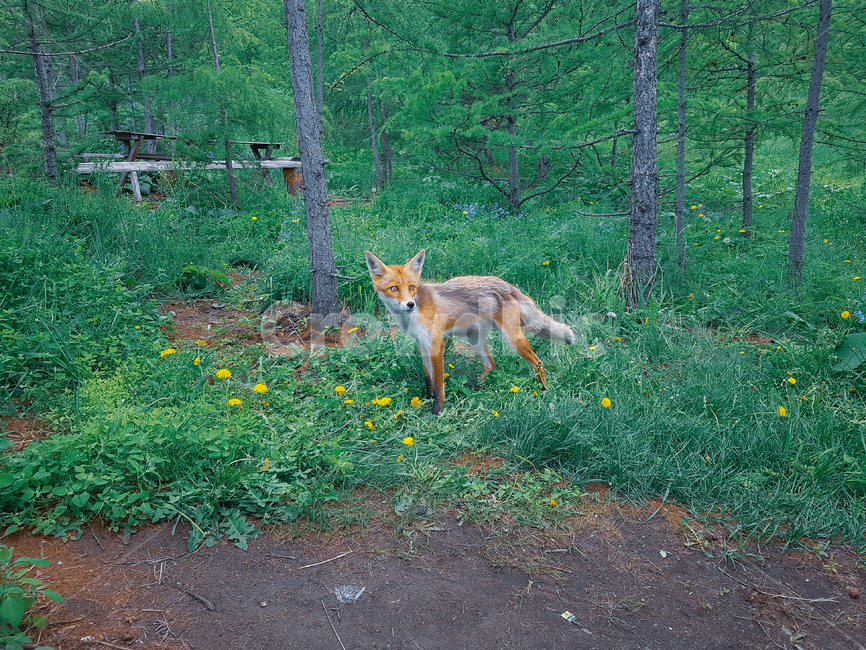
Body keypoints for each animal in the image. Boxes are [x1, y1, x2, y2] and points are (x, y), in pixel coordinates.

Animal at [365, 249, 575, 414]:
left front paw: (436, 412)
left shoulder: (436, 345)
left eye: (412, 287)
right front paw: (425, 401)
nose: (410, 304)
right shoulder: (422, 344)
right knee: (491, 365)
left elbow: (439, 384)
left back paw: (543, 389)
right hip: (475, 339)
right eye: (394, 288)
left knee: (538, 362)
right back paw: (480, 389)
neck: (413, 316)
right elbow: (428, 380)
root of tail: (506, 285)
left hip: (512, 338)